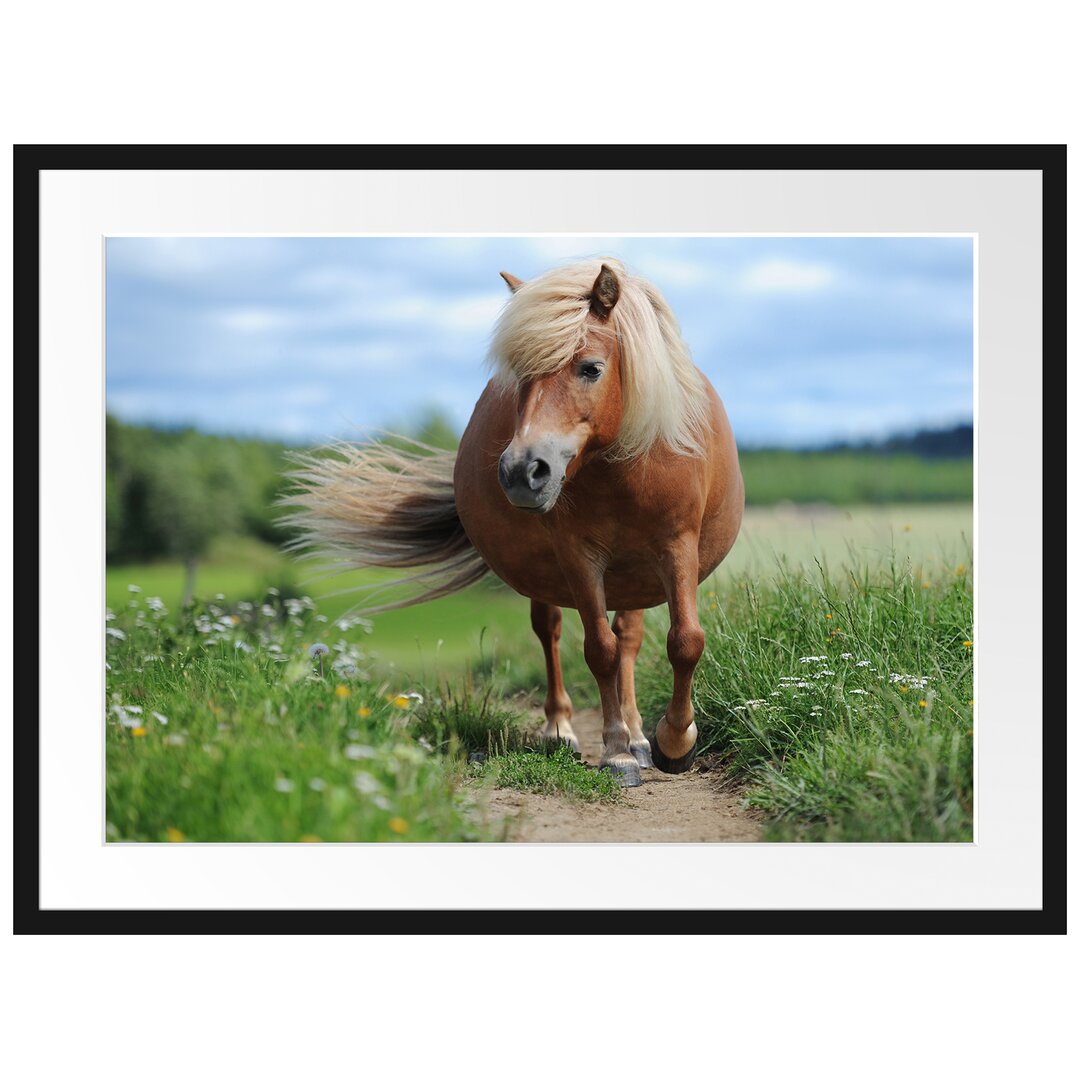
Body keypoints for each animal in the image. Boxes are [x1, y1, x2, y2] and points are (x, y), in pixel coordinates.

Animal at [282, 260, 747, 786]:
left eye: (591, 368)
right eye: (521, 376)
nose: (523, 471)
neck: (623, 467)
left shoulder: (676, 546)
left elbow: (684, 641)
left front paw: (673, 742)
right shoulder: (579, 556)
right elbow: (599, 650)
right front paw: (616, 753)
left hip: (635, 575)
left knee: (629, 637)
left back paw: (639, 736)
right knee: (552, 632)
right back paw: (564, 731)